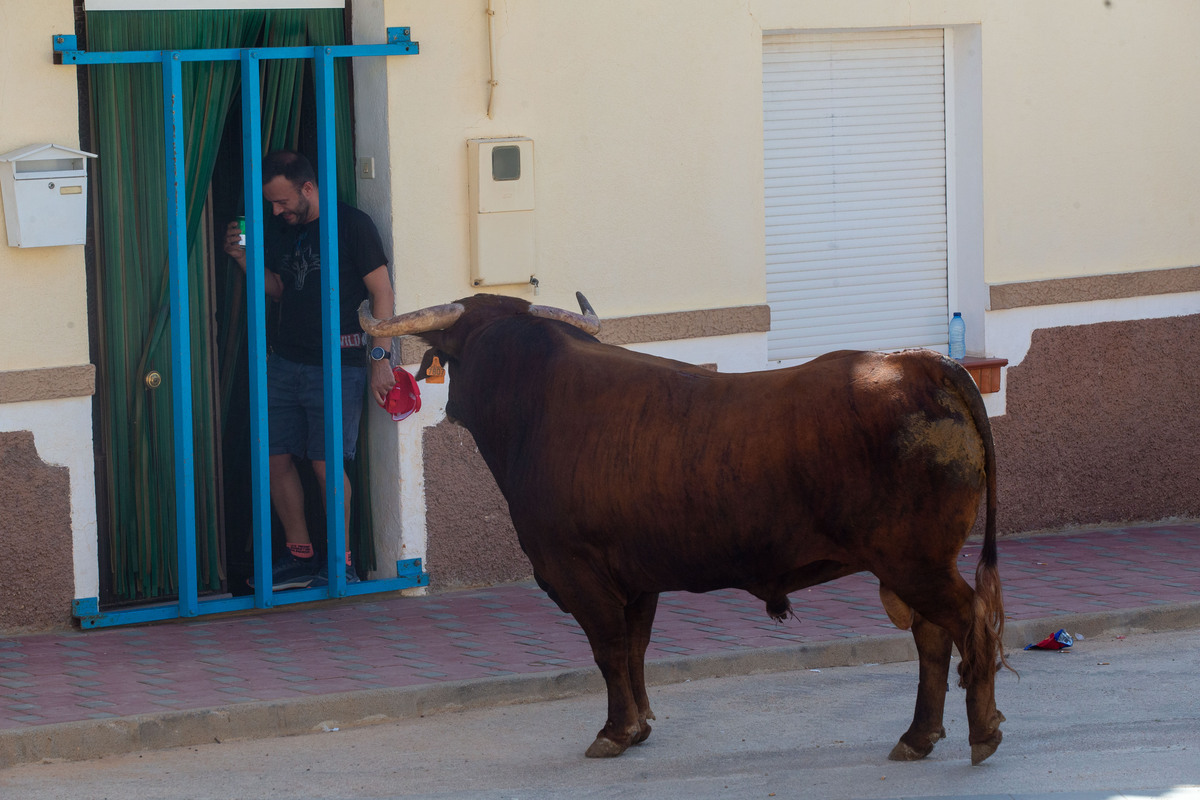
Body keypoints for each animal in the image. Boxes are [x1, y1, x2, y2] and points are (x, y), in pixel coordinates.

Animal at [357, 292, 1012, 762]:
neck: (536, 398)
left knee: (969, 622)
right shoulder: (637, 577)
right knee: (933, 637)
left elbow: (608, 648)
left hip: (916, 561)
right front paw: (641, 724)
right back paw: (919, 737)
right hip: (913, 565)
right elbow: (635, 648)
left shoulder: (577, 570)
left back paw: (981, 733)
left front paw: (616, 730)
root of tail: (920, 362)